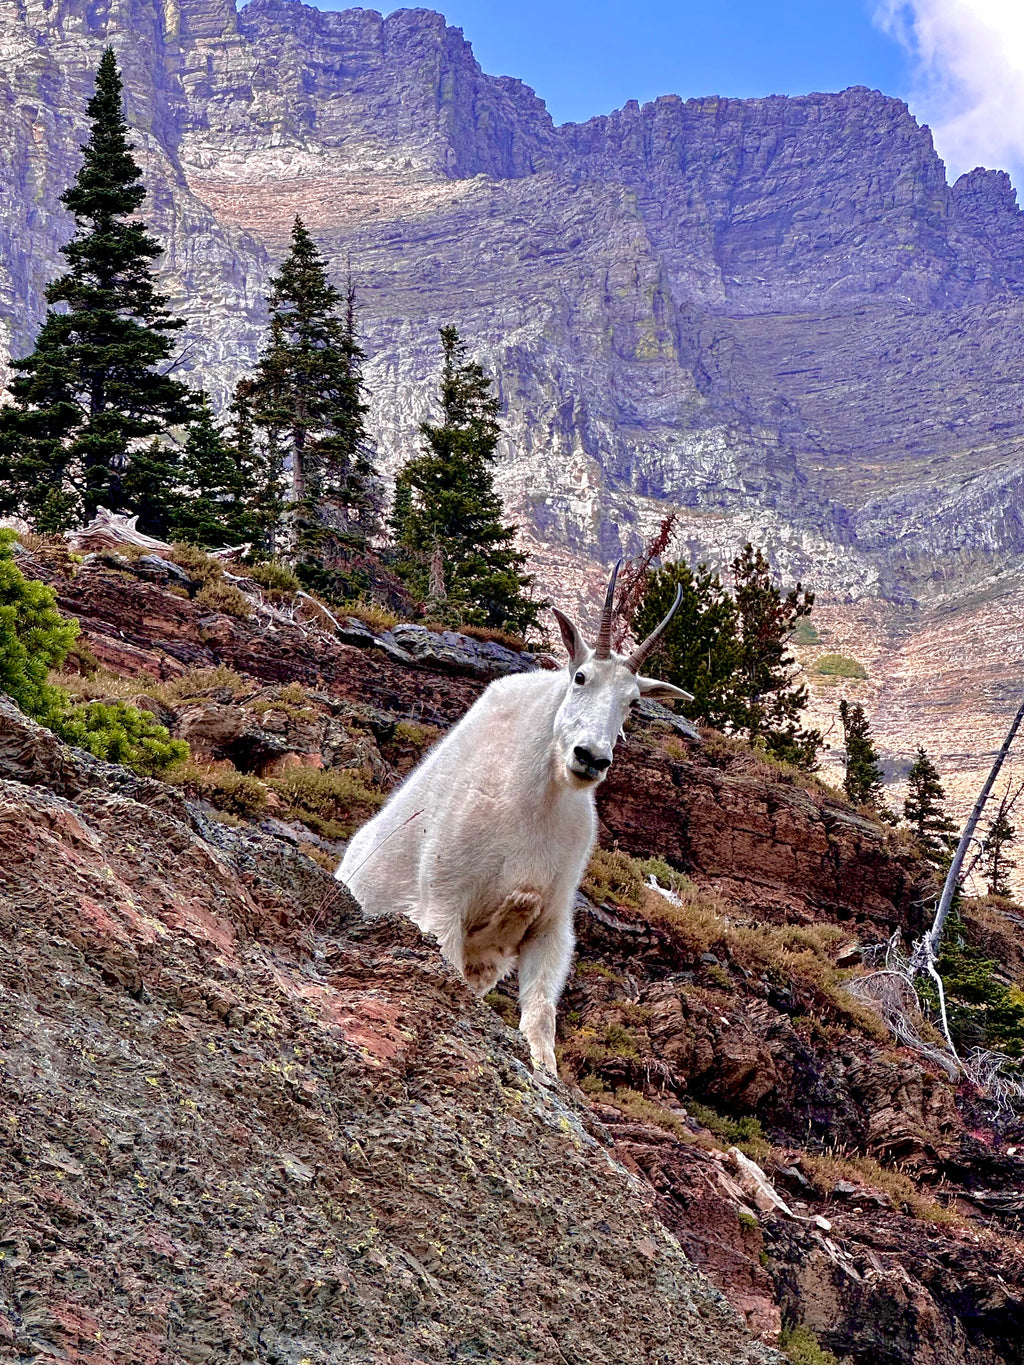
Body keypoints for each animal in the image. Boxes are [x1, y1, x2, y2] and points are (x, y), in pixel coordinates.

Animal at [335, 564, 690, 1073]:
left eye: (633, 702)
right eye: (580, 676)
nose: (591, 758)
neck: (537, 801)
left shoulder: (550, 923)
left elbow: (541, 1017)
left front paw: (544, 1072)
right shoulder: (442, 904)